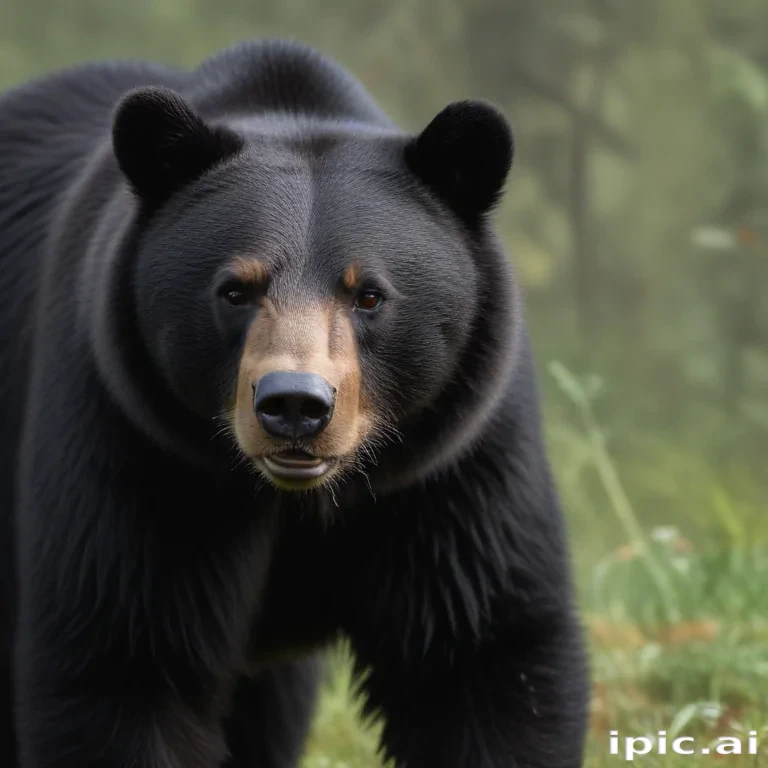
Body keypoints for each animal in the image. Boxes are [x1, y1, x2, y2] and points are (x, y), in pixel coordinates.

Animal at [0, 38, 589, 768]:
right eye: (235, 289)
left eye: (369, 294)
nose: (295, 406)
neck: (296, 500)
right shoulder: (135, 443)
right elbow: (120, 657)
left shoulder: (449, 465)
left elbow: (484, 654)